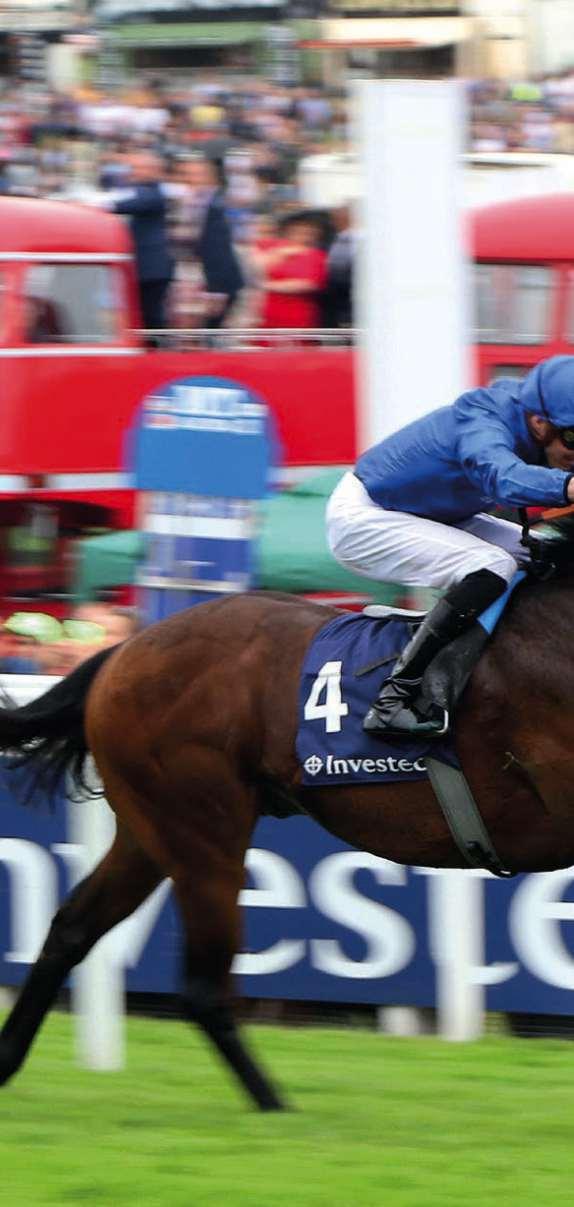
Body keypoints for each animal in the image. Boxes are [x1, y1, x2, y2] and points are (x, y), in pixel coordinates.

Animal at [0, 577, 569, 1112]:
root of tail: (124, 650)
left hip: (150, 831)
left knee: (72, 929)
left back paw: (7, 1063)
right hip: (203, 835)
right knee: (202, 988)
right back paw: (277, 1108)